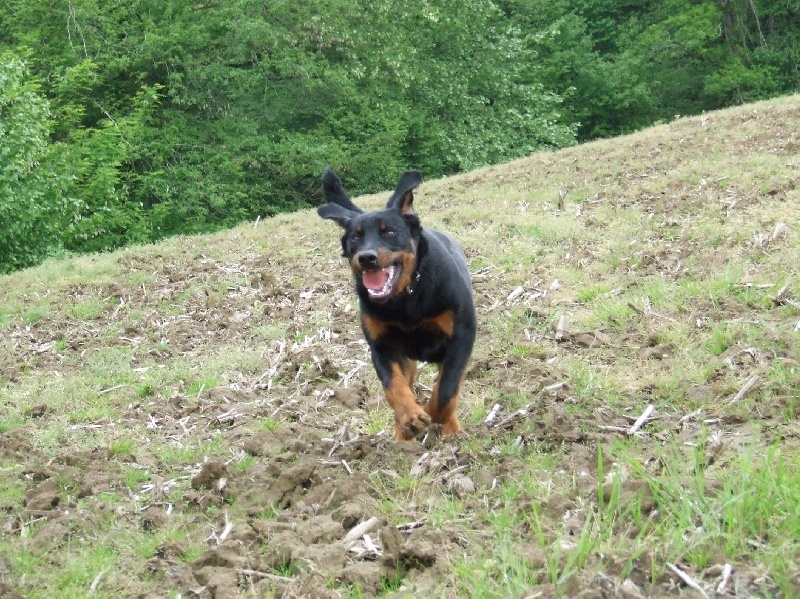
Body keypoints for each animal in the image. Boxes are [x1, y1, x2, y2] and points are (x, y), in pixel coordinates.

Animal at [316, 169, 476, 440]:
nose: (366, 257)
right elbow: (394, 386)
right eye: (355, 237)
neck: (406, 298)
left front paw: (437, 417)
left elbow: (446, 388)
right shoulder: (382, 345)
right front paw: (411, 418)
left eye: (389, 232)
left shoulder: (462, 334)